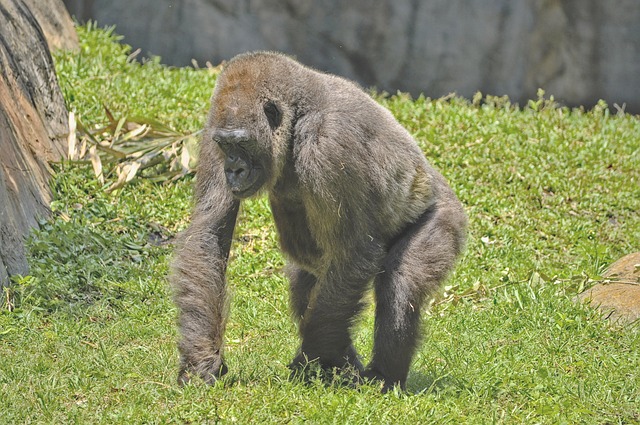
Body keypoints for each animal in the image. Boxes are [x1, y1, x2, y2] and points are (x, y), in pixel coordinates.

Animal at [170, 51, 467, 392]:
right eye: (225, 145)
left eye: (242, 144)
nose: (233, 170)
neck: (298, 116)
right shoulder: (212, 126)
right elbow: (208, 233)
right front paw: (201, 359)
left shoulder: (331, 143)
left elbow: (355, 253)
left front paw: (311, 356)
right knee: (309, 285)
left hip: (445, 214)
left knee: (402, 282)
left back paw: (383, 376)